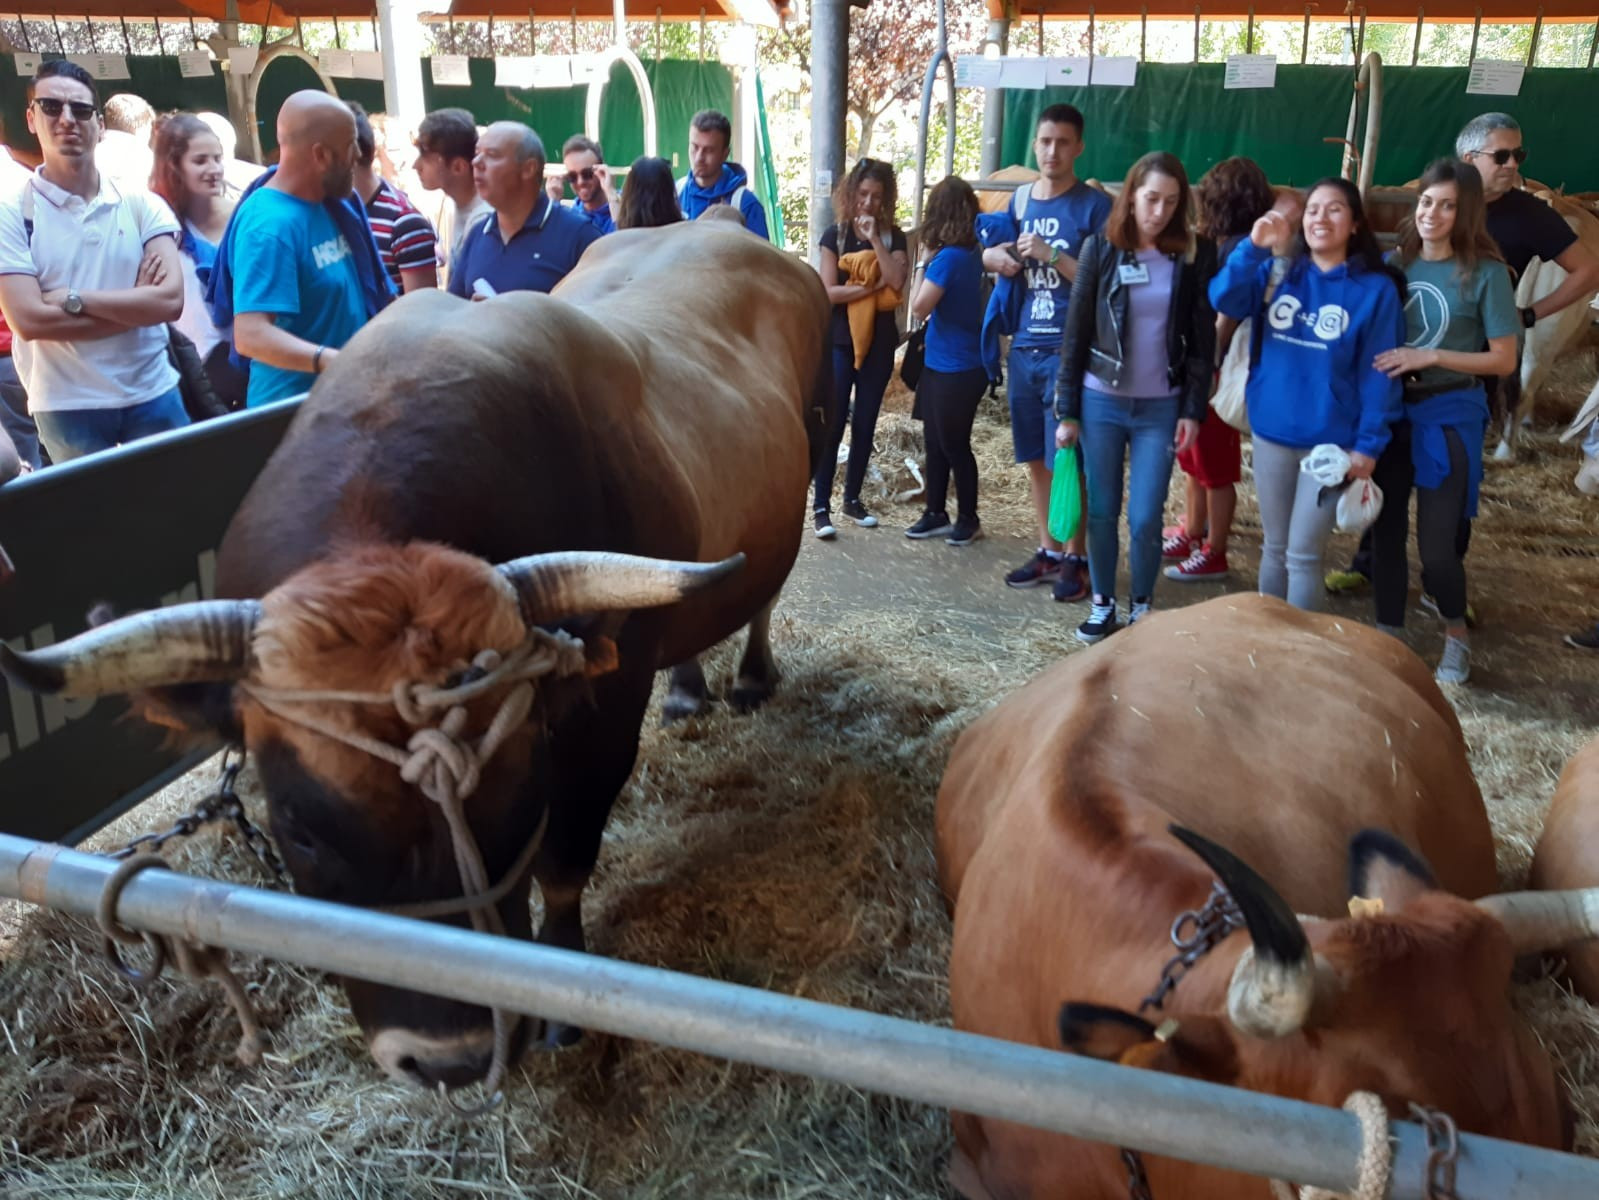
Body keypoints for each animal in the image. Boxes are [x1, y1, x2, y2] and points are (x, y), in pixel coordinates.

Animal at [3, 220, 837, 1094]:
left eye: (520, 790)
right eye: (298, 826)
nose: (450, 1058)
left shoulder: (603, 717)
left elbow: (564, 863)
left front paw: (562, 1003)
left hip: (815, 447)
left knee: (763, 591)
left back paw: (748, 676)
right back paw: (686, 687)